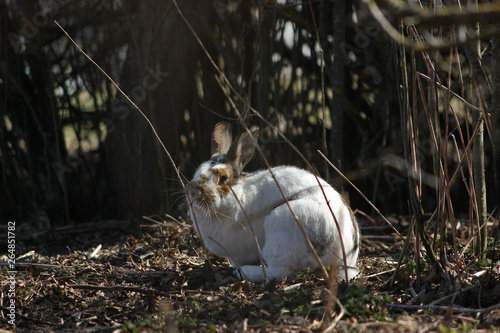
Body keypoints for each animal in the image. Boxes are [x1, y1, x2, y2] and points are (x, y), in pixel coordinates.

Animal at [185, 121, 360, 280]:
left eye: (222, 179)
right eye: (197, 171)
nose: (192, 191)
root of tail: (344, 255)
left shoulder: (238, 254)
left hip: (281, 230)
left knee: (279, 272)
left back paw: (244, 272)